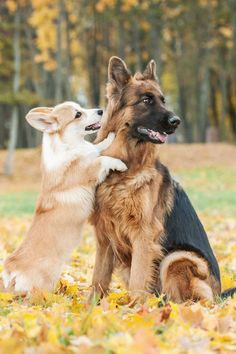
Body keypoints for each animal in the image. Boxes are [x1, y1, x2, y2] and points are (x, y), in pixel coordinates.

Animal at [2, 100, 127, 294]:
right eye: (78, 114)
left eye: (81, 108)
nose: (100, 110)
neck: (68, 145)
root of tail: (11, 269)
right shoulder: (90, 171)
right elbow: (102, 159)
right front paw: (120, 164)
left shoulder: (90, 152)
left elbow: (97, 147)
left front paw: (110, 137)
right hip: (44, 281)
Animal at [90, 56, 234, 302]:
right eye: (146, 100)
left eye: (163, 100)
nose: (177, 121)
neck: (124, 169)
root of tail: (218, 295)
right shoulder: (104, 238)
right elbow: (97, 281)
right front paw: (89, 307)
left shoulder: (144, 236)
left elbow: (138, 281)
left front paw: (135, 308)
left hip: (177, 257)